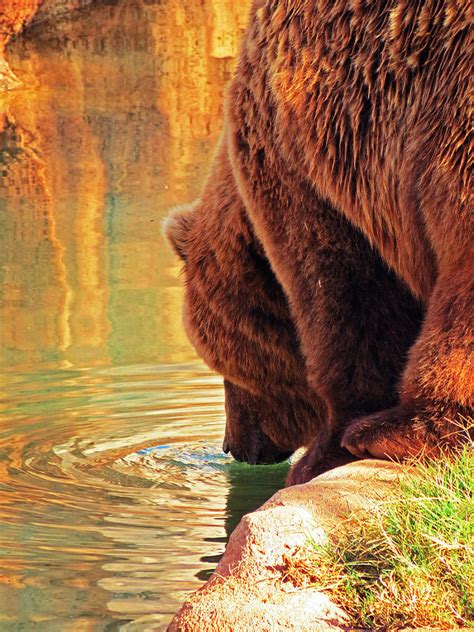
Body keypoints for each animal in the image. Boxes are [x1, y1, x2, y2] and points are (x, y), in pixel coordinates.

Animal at [165, 0, 472, 484]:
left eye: (220, 365)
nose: (231, 445)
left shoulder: (309, 160)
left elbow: (344, 294)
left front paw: (323, 453)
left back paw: (401, 429)